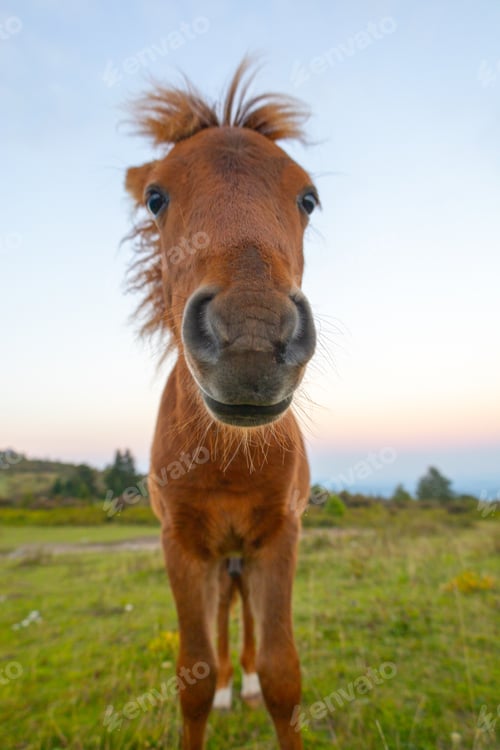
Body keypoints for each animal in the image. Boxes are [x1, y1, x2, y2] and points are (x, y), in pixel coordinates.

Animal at [124, 60, 319, 750]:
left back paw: (249, 682)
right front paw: (223, 689)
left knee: (252, 629)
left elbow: (285, 674)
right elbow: (196, 676)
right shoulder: (183, 548)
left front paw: (264, 685)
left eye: (307, 198)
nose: (253, 336)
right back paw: (238, 687)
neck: (228, 457)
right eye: (156, 197)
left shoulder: (278, 539)